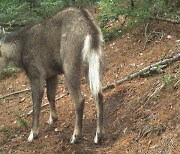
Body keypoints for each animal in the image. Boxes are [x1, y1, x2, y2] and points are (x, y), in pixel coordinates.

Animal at [0, 7, 103, 144]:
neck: (18, 53)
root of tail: (90, 28)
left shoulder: (36, 73)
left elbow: (35, 105)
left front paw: (33, 134)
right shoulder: (51, 74)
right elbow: (50, 96)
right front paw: (52, 118)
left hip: (70, 64)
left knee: (80, 99)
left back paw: (75, 135)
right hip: (92, 62)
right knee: (98, 93)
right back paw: (98, 135)